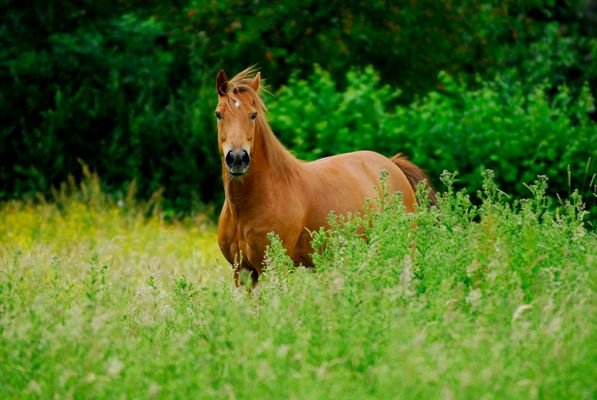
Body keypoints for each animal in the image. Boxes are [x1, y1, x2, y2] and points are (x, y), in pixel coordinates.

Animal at [214, 67, 434, 284]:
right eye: (218, 114)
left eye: (253, 115)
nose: (237, 158)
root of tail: (392, 164)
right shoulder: (242, 273)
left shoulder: (273, 268)